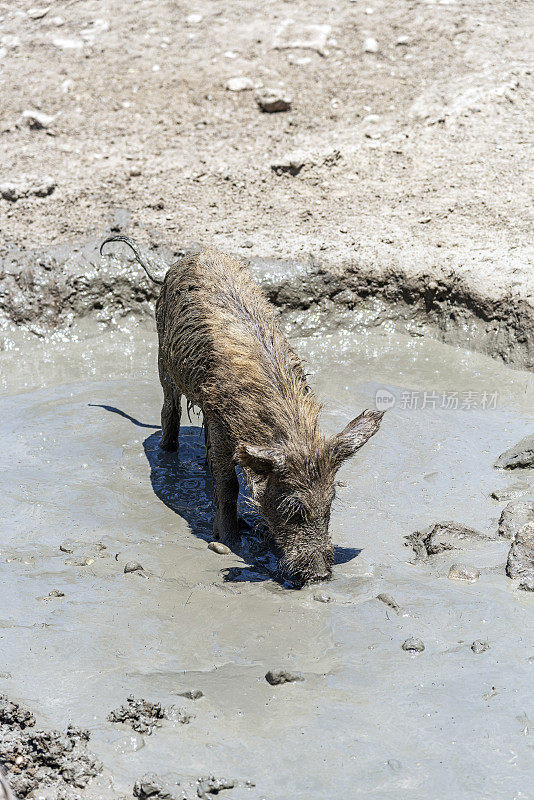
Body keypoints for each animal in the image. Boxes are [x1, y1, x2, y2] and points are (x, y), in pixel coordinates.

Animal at [100, 234, 386, 584]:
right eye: (291, 508)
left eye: (329, 503)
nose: (319, 575)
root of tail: (180, 262)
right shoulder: (221, 421)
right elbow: (229, 485)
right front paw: (229, 540)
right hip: (162, 357)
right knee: (169, 410)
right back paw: (168, 454)